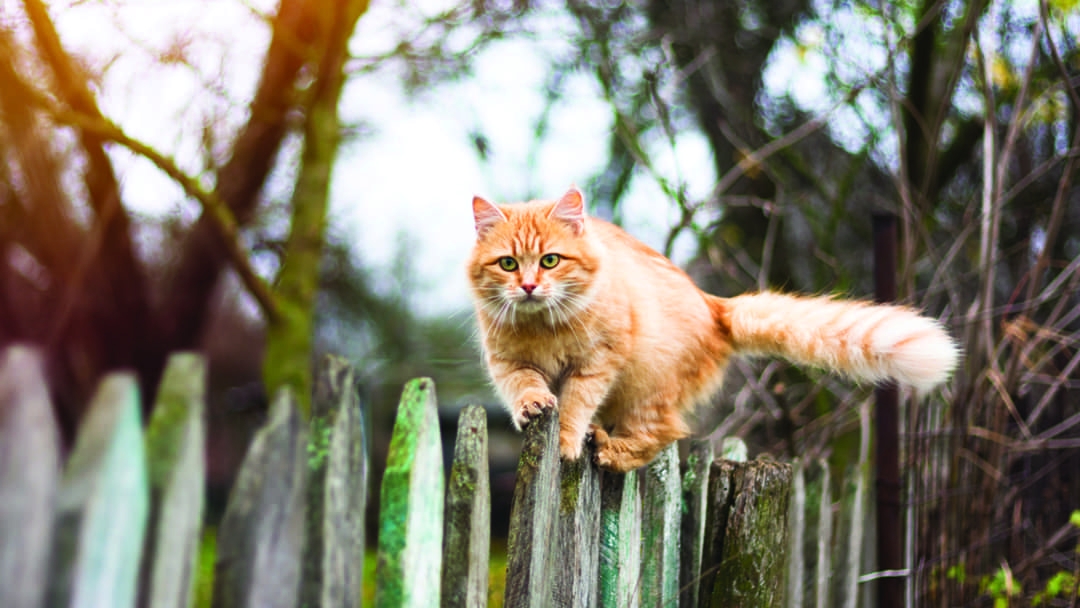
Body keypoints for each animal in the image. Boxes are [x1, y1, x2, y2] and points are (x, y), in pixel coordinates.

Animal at [468, 187, 959, 473]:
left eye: (550, 260)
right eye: (508, 264)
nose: (529, 286)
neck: (542, 327)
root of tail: (713, 305)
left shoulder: (598, 362)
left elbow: (573, 406)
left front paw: (568, 442)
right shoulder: (508, 363)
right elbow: (527, 387)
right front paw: (533, 406)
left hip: (649, 389)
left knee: (661, 435)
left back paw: (609, 451)